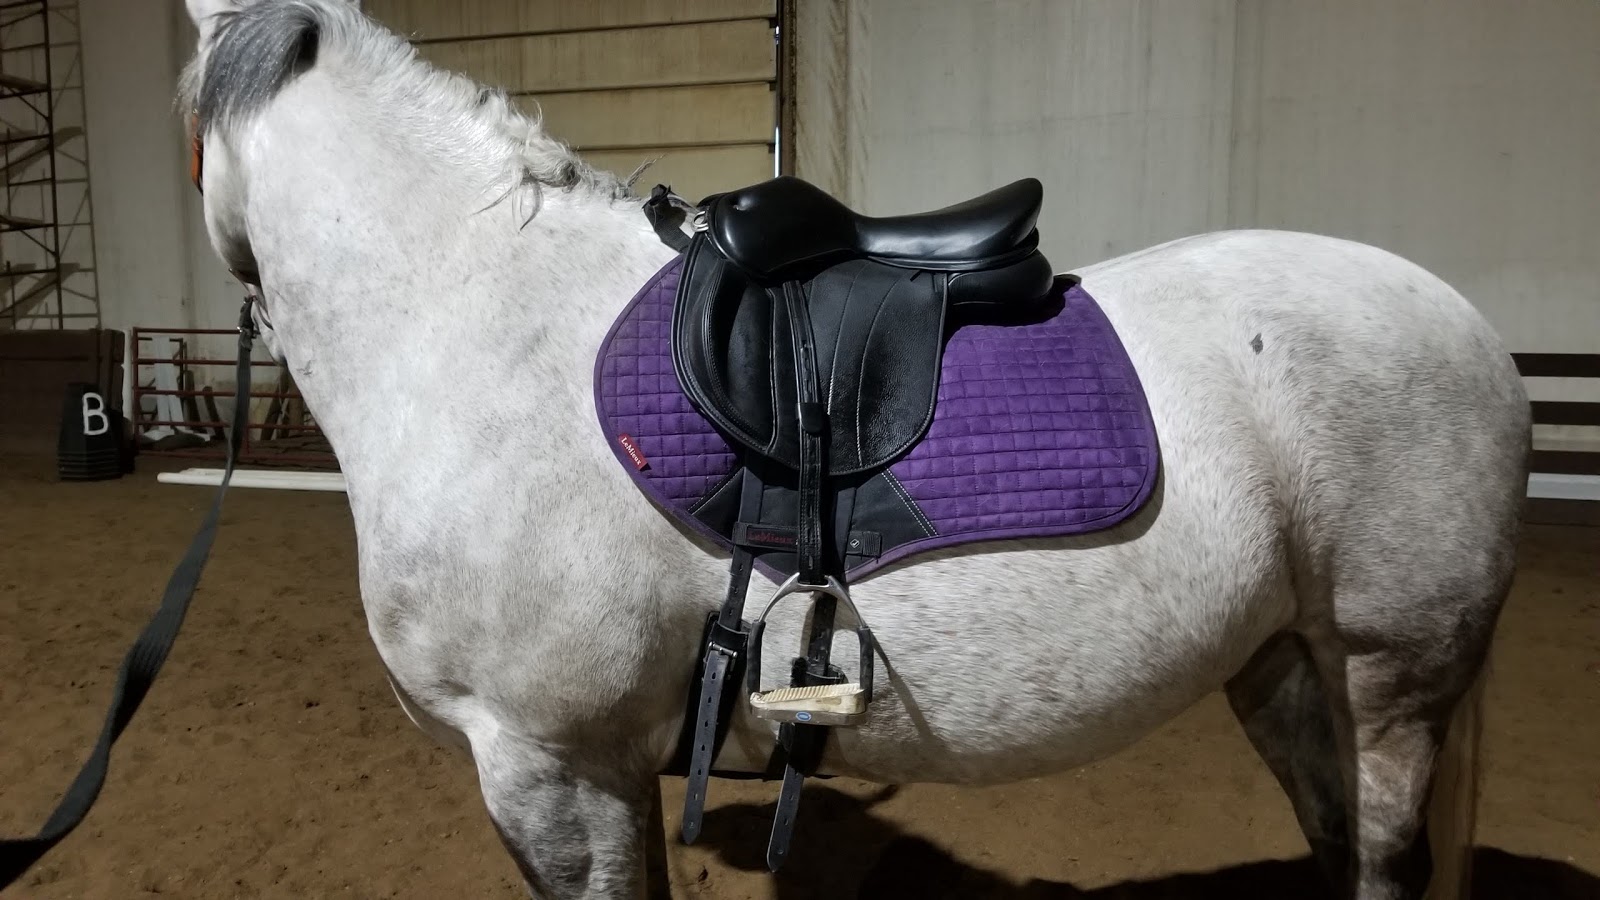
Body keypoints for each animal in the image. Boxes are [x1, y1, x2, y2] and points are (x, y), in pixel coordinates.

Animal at [176, 2, 1531, 898]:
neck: (475, 308)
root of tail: (1467, 323)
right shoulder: (600, 773)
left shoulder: (550, 768)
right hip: (1283, 665)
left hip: (1390, 682)